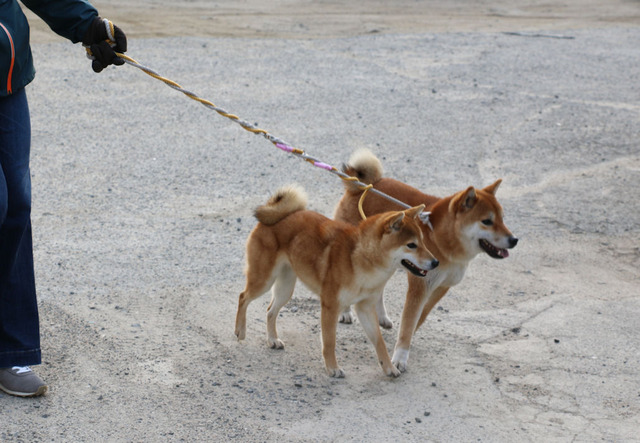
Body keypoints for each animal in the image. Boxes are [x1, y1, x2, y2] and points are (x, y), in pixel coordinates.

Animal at [235, 185, 440, 378]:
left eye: (423, 241)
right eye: (411, 245)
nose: (436, 262)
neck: (362, 260)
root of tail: (273, 217)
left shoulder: (365, 308)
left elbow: (379, 341)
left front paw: (389, 368)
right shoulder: (330, 306)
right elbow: (329, 342)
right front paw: (333, 368)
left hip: (285, 288)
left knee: (270, 311)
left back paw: (272, 340)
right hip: (264, 280)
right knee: (243, 297)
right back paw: (240, 331)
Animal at [332, 151, 516, 372]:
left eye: (503, 219)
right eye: (487, 221)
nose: (514, 240)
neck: (439, 237)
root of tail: (363, 185)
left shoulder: (441, 286)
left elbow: (419, 318)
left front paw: (407, 340)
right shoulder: (421, 285)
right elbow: (409, 320)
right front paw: (400, 358)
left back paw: (382, 317)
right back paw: (345, 312)